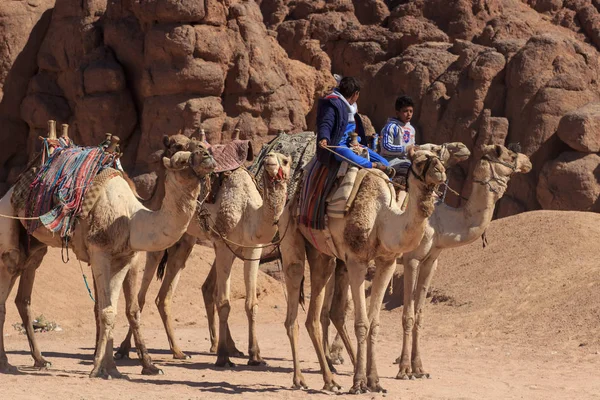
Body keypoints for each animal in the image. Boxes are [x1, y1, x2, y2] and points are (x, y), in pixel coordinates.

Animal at [0, 136, 216, 376]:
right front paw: (98, 367)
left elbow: (116, 310)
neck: (132, 219)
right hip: (9, 233)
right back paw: (6, 363)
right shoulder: (100, 251)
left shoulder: (123, 258)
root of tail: (10, 191)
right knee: (6, 288)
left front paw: (113, 367)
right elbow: (105, 310)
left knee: (23, 296)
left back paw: (40, 360)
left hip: (35, 249)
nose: (207, 154)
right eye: (181, 159)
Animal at [115, 138, 292, 368]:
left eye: (286, 161)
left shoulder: (253, 248)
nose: (270, 160)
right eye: (271, 157)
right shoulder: (224, 245)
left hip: (184, 240)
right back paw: (124, 349)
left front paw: (255, 356)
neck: (247, 208)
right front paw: (223, 357)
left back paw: (179, 352)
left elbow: (251, 304)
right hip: (156, 231)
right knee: (143, 293)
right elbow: (224, 302)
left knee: (164, 295)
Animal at [282, 145, 450, 392]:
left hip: (323, 255)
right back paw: (301, 379)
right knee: (293, 306)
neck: (382, 218)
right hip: (292, 239)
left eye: (440, 159)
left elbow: (374, 323)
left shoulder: (387, 262)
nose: (440, 172)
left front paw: (375, 381)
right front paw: (360, 383)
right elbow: (361, 323)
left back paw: (330, 379)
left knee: (314, 315)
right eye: (420, 161)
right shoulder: (356, 261)